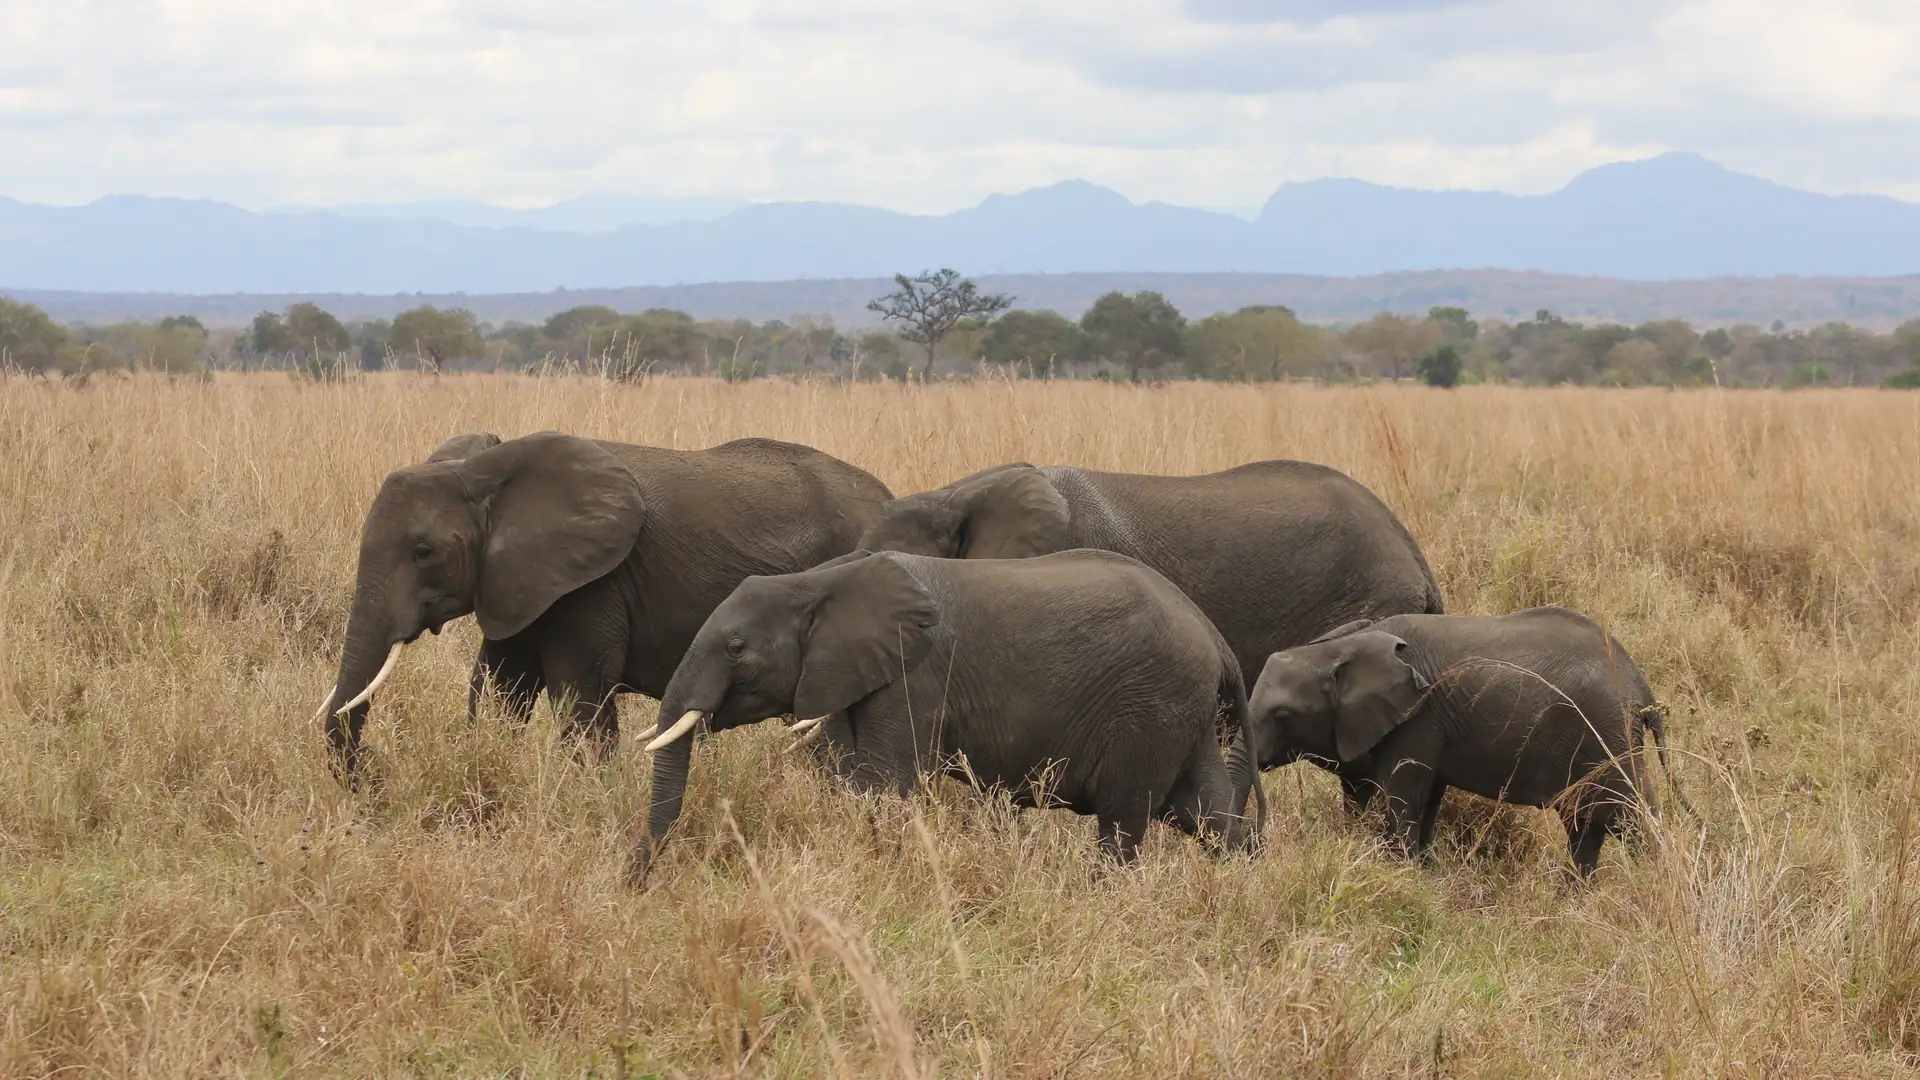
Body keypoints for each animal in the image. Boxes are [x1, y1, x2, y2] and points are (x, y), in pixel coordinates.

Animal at [310, 429, 893, 779]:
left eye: (423, 551)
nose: (374, 774)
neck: (487, 470)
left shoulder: (595, 585)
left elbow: (580, 694)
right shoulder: (516, 582)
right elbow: (499, 688)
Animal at [631, 548, 1265, 881]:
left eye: (737, 647)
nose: (639, 883)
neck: (820, 580)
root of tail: (1213, 634)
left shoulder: (915, 676)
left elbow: (883, 784)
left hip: (1152, 707)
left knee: (1124, 819)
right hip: (1183, 713)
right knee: (1205, 811)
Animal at [1239, 608, 1674, 878]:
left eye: (1282, 716)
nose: (1254, 844)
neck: (1343, 646)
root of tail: (1641, 687)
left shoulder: (1418, 719)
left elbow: (1402, 798)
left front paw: (1402, 873)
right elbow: (1423, 800)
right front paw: (1422, 874)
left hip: (1606, 737)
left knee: (1627, 815)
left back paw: (1654, 884)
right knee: (1588, 824)